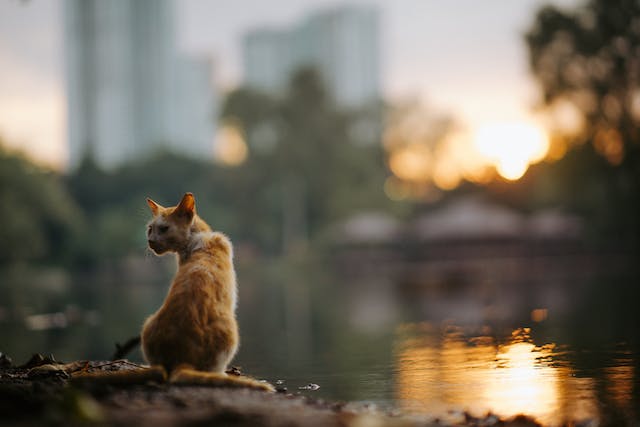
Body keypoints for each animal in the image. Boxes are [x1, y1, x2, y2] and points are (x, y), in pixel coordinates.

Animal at [72, 194, 272, 392]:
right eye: (150, 229)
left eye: (164, 229)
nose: (150, 241)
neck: (197, 237)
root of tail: (179, 361)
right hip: (232, 331)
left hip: (147, 324)